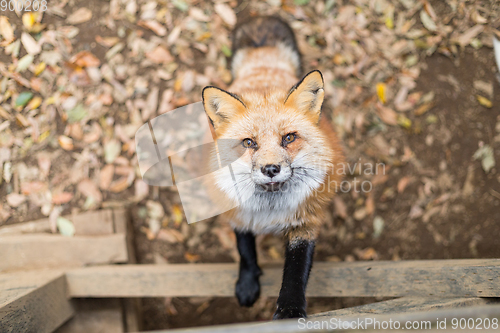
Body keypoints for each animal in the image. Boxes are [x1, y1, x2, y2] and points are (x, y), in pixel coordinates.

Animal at [201, 16, 346, 320]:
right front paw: (247, 284)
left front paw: (290, 310)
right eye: (249, 142)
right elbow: (245, 250)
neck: (270, 209)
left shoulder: (306, 223)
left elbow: (295, 271)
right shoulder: (238, 212)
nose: (270, 169)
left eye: (288, 138)